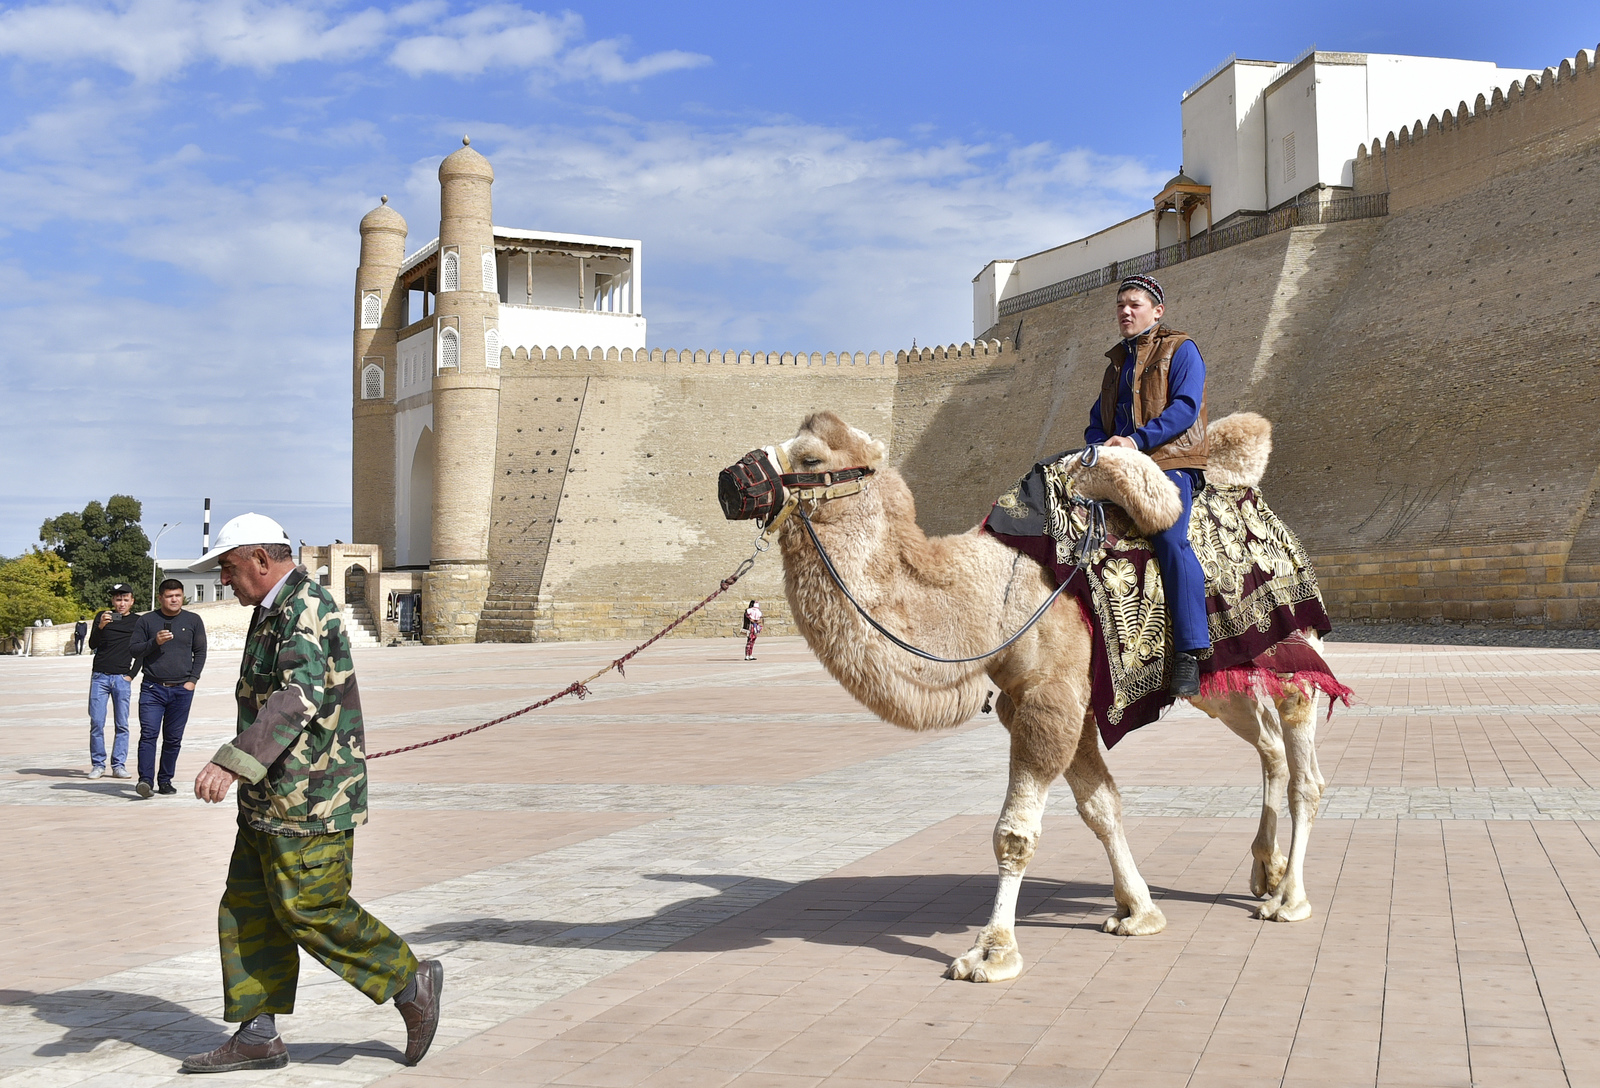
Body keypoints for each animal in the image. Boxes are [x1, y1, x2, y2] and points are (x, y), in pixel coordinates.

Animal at [726, 412, 1324, 979]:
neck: (991, 597)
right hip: (1217, 682)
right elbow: (1101, 807)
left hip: (1292, 645)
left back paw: (1289, 899)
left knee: (1303, 756)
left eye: (810, 457)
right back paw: (1265, 870)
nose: (730, 479)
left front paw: (992, 952)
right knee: (1268, 744)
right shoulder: (1051, 705)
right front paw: (1139, 912)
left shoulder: (1049, 698)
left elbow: (1014, 834)